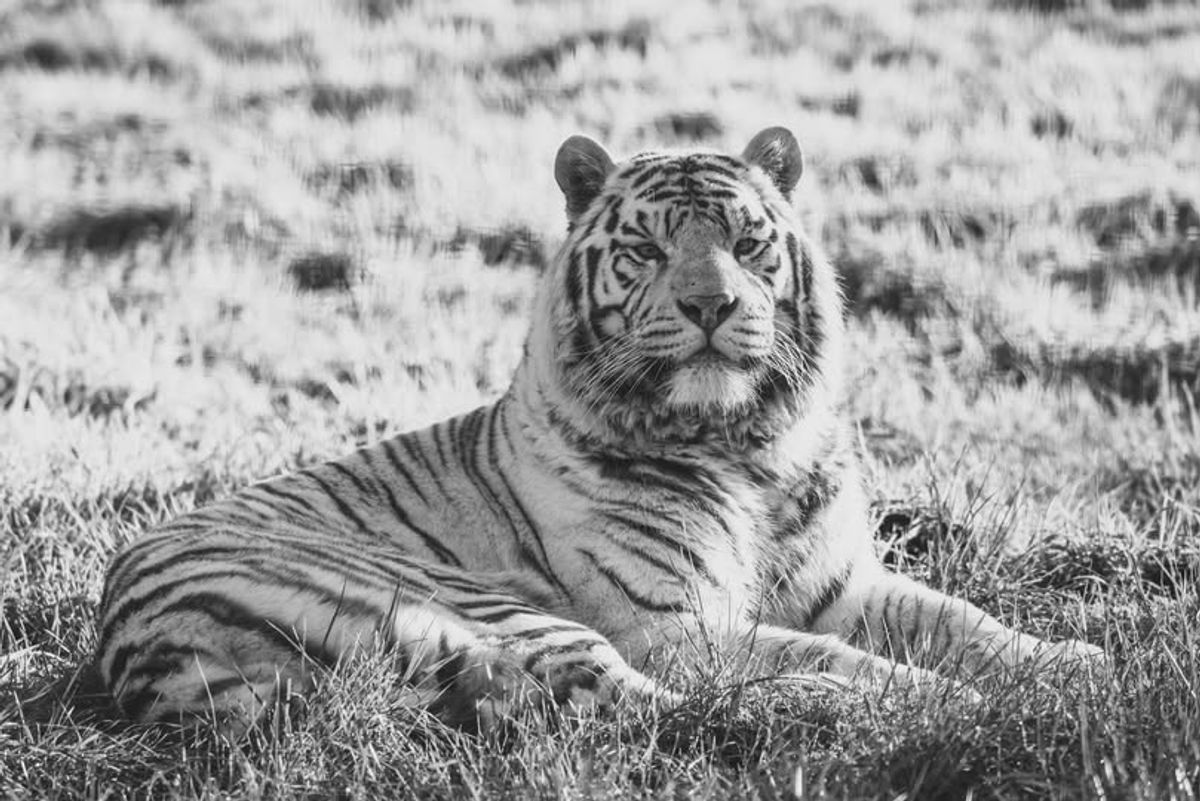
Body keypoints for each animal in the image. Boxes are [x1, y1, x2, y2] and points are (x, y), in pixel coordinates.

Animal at [95, 127, 1106, 731]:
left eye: (748, 242)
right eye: (648, 249)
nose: (710, 304)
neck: (751, 447)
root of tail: (133, 648)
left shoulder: (844, 583)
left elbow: (967, 621)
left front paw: (1069, 664)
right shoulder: (677, 622)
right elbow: (840, 653)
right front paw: (941, 700)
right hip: (473, 603)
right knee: (661, 707)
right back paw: (819, 706)